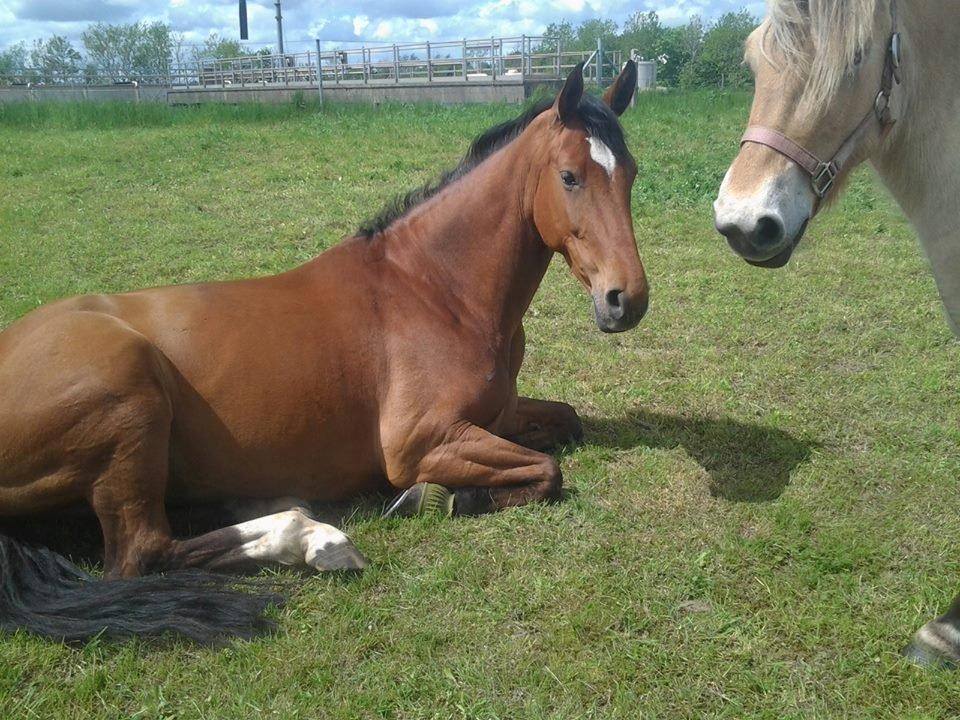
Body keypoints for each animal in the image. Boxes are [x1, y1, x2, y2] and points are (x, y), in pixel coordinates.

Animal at [0, 62, 648, 644]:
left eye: (632, 174)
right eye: (570, 176)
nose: (627, 300)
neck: (436, 290)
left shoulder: (499, 414)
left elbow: (566, 423)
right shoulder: (421, 443)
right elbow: (547, 471)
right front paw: (438, 498)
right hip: (130, 398)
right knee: (142, 553)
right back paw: (313, 539)